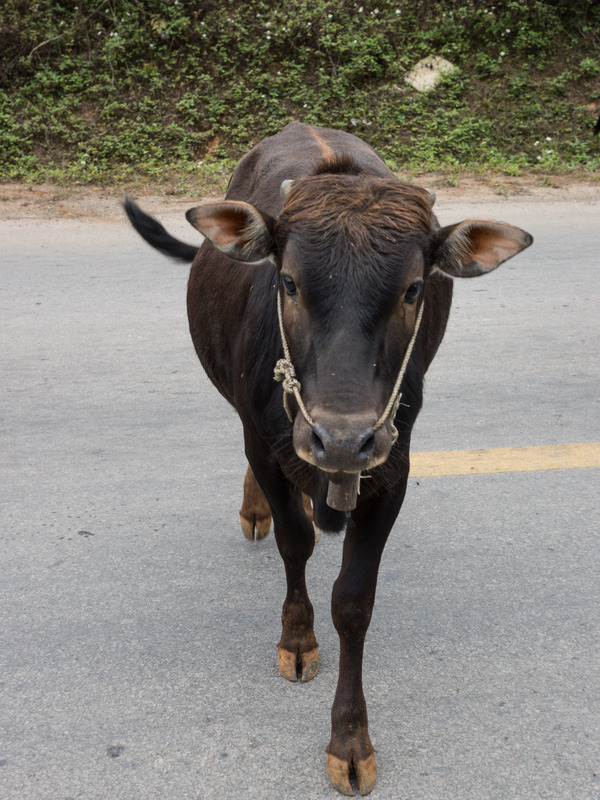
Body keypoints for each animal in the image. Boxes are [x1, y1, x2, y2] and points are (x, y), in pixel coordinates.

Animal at [124, 122, 532, 796]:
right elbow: (296, 544)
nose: (340, 438)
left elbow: (354, 602)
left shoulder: (392, 466)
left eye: (413, 288)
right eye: (288, 282)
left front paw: (350, 741)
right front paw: (296, 638)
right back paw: (260, 509)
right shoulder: (266, 444)